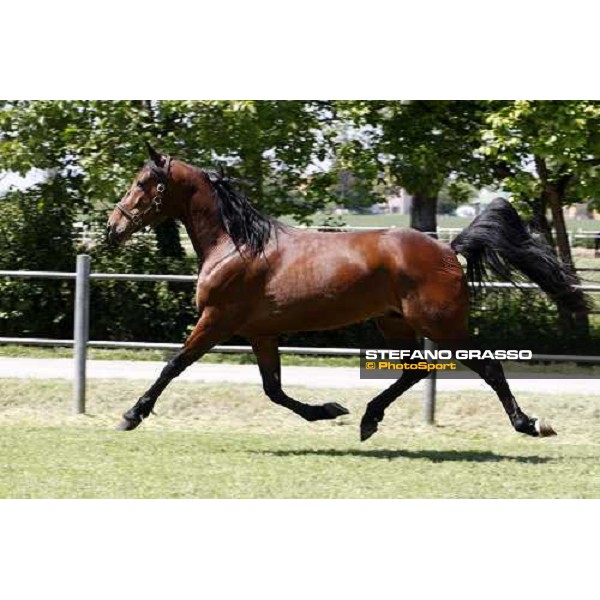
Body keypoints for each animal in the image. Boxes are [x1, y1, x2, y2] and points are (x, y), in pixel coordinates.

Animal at [106, 143, 584, 438]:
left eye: (143, 183)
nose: (113, 227)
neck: (236, 244)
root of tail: (447, 249)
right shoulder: (261, 333)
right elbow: (273, 389)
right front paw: (328, 410)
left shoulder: (216, 321)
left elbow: (173, 365)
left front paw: (131, 415)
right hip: (394, 324)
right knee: (416, 370)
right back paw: (369, 419)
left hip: (443, 325)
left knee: (488, 367)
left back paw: (530, 424)